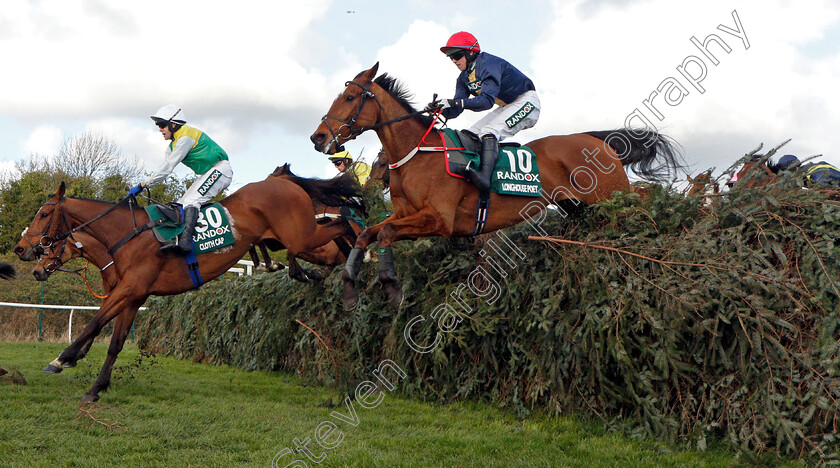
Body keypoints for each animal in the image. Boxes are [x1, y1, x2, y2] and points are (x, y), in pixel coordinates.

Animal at [13, 176, 356, 402]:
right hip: (289, 239)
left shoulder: (129, 288)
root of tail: (286, 181)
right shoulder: (135, 295)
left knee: (343, 223)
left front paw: (62, 359)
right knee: (336, 229)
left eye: (44, 214)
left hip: (301, 237)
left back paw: (356, 266)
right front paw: (96, 388)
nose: (22, 250)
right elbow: (114, 342)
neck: (126, 234)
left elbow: (95, 323)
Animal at [308, 63, 684, 310]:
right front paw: (350, 289)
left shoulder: (439, 220)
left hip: (608, 192)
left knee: (643, 196)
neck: (419, 152)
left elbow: (384, 235)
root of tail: (596, 139)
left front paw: (391, 287)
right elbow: (365, 235)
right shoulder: (403, 215)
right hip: (577, 204)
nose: (318, 137)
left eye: (351, 97)